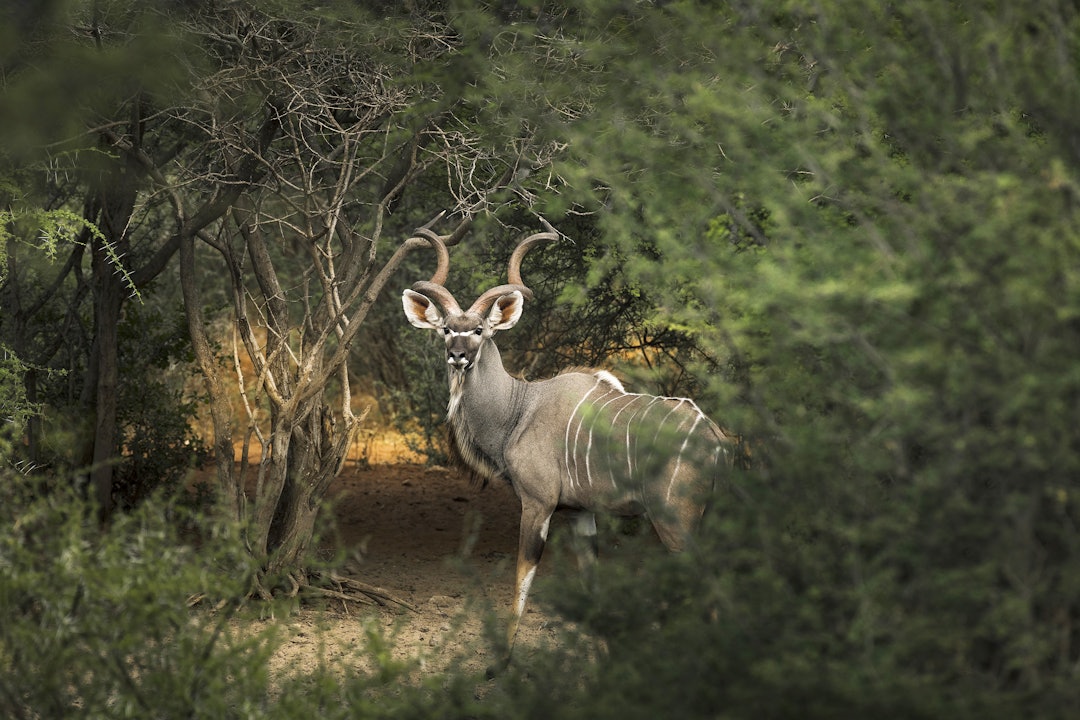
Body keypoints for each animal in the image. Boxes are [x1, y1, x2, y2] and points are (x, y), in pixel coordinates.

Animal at [401, 222, 730, 673]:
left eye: (480, 330)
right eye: (447, 329)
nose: (458, 356)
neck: (519, 409)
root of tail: (714, 437)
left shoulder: (538, 504)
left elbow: (522, 578)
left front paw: (501, 663)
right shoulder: (580, 513)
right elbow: (591, 581)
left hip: (675, 520)